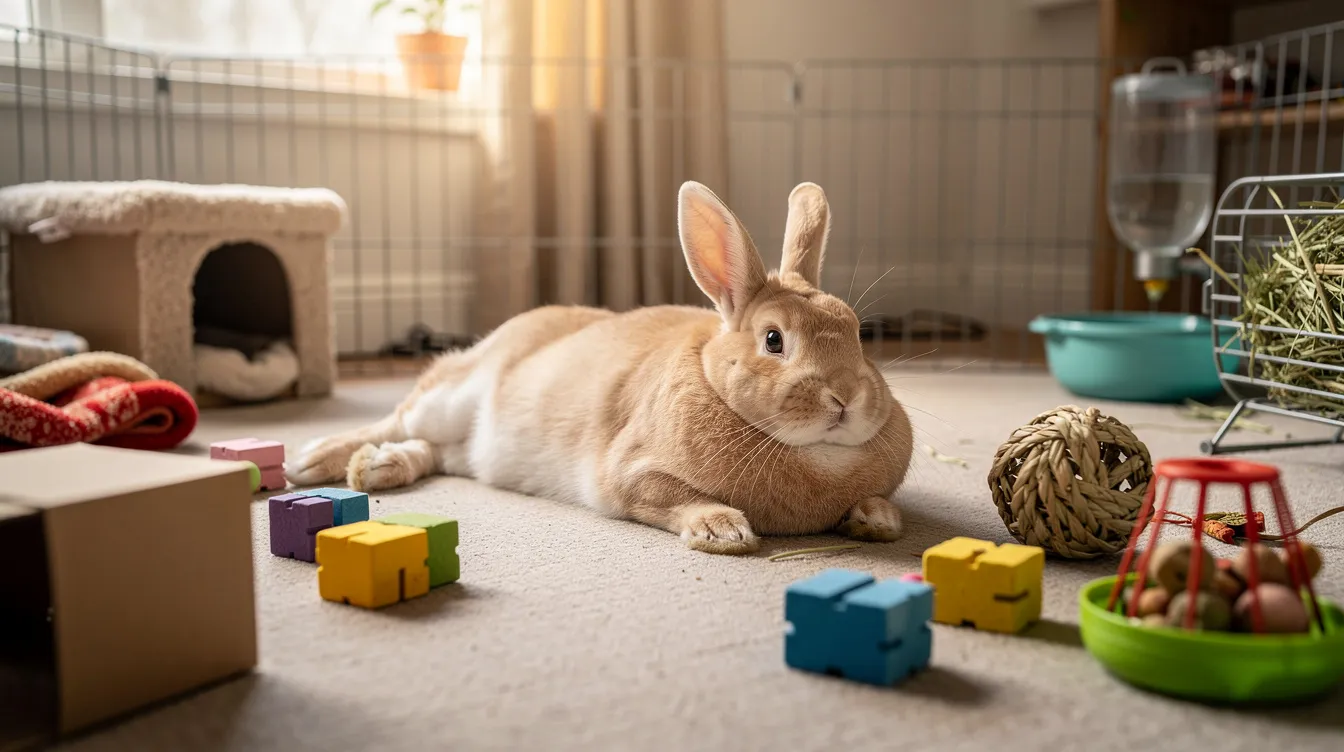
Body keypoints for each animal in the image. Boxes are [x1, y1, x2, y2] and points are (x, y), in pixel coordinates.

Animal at [286, 181, 914, 554]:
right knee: (397, 421)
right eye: (774, 340)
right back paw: (316, 459)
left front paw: (878, 519)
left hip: (467, 444)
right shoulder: (629, 474)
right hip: (451, 396)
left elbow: (876, 505)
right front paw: (723, 530)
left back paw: (381, 468)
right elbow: (671, 498)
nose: (846, 399)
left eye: (857, 333)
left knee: (434, 452)